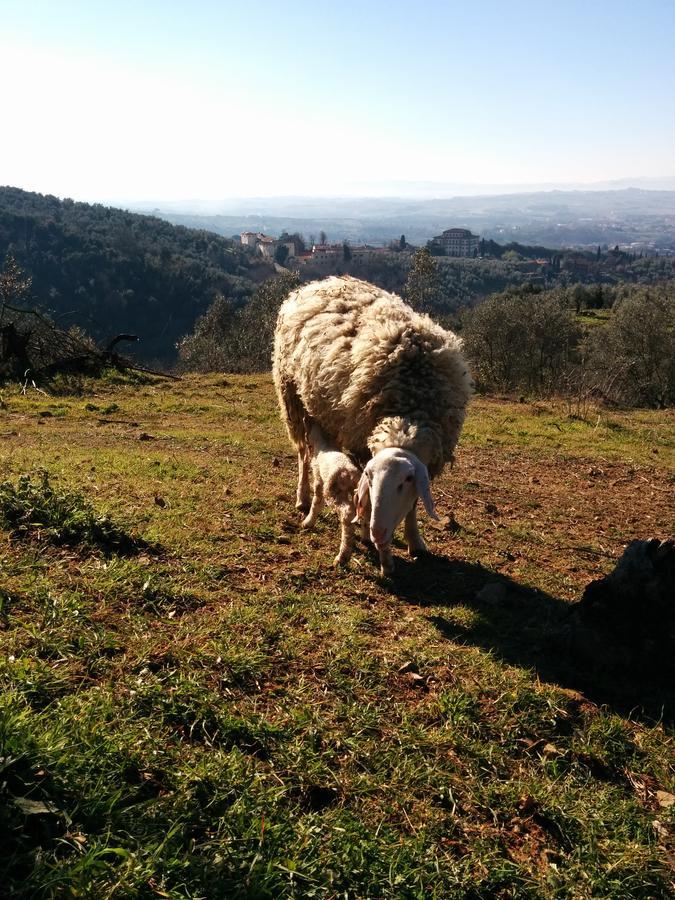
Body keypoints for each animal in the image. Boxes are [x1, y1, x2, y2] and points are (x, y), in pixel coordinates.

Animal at [302, 424, 362, 568]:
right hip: (356, 492)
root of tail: (350, 473)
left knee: (347, 513)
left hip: (333, 491)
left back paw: (343, 555)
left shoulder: (319, 479)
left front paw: (308, 522)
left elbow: (316, 502)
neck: (324, 444)